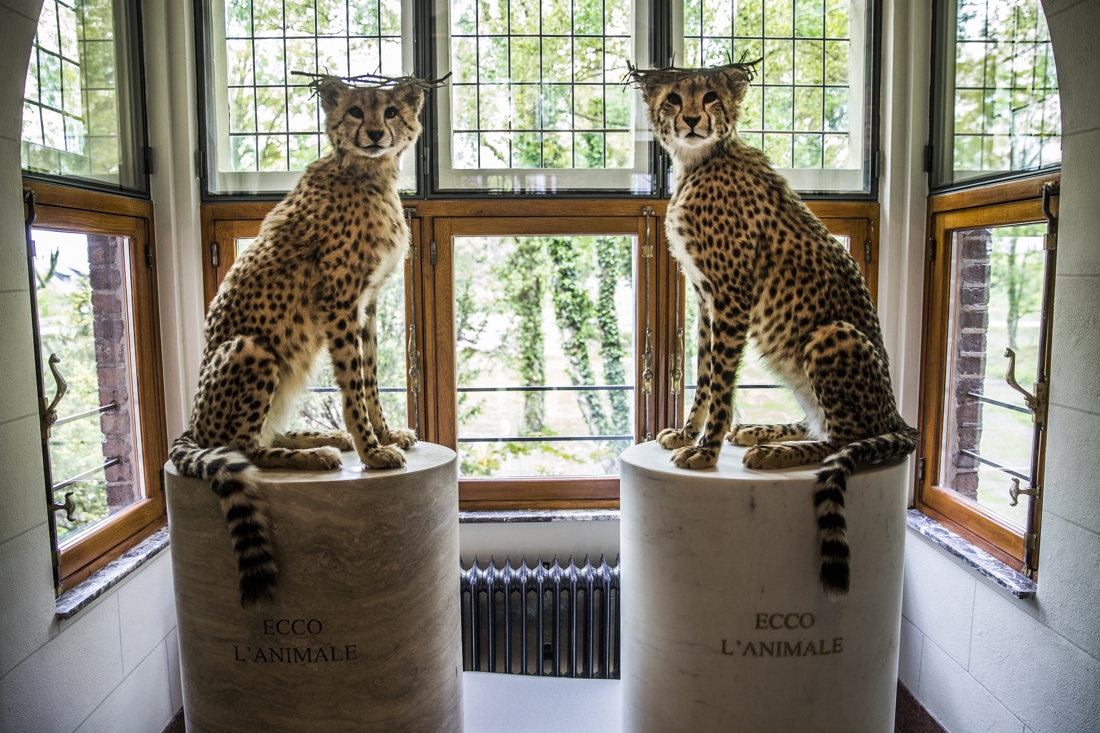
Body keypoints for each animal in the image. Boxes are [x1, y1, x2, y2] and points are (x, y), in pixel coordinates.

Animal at [169, 77, 422, 603]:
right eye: (354, 112)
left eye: (390, 110)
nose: (374, 133)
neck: (371, 174)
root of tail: (193, 423)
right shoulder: (340, 303)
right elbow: (353, 387)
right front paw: (372, 451)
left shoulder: (367, 305)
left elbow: (370, 381)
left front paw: (384, 435)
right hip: (252, 348)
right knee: (241, 447)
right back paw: (315, 453)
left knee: (260, 431)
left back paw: (325, 438)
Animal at [638, 62, 919, 598]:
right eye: (672, 98)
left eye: (710, 96)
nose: (690, 119)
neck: (697, 161)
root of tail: (899, 416)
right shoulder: (704, 297)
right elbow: (704, 376)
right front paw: (688, 434)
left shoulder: (731, 295)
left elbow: (722, 383)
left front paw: (706, 451)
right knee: (824, 422)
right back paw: (762, 431)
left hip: (832, 334)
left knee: (846, 437)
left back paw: (778, 451)